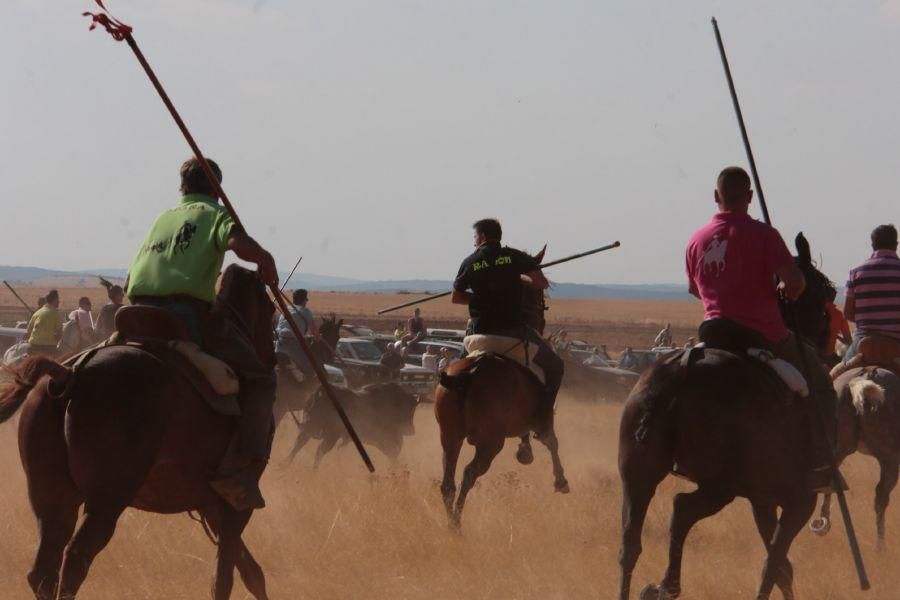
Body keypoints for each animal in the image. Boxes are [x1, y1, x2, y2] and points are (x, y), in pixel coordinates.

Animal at [0, 266, 274, 600]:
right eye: (270, 309)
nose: (273, 358)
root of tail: (68, 374)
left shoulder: (210, 504)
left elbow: (249, 571)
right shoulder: (235, 504)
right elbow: (224, 576)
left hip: (52, 496)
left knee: (44, 569)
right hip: (106, 499)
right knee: (75, 559)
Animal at [620, 234, 836, 600]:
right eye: (827, 292)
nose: (829, 345)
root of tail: (679, 372)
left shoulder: (763, 500)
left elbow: (782, 567)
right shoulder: (800, 500)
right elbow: (774, 564)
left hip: (638, 474)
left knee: (630, 542)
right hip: (718, 485)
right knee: (681, 509)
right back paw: (666, 585)